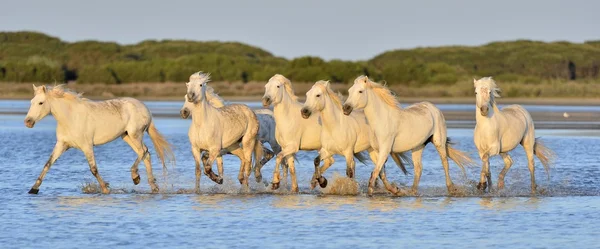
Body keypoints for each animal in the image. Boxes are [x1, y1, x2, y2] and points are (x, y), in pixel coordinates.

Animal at [23, 84, 173, 194]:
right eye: (31, 102)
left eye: (41, 103)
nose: (28, 122)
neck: (70, 118)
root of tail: (145, 108)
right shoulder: (62, 145)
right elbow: (47, 164)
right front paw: (33, 189)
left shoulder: (87, 146)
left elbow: (93, 169)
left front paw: (105, 189)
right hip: (126, 136)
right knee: (146, 154)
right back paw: (153, 186)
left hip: (135, 134)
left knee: (143, 152)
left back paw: (135, 177)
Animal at [344, 75, 476, 196]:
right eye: (349, 91)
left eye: (360, 91)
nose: (345, 108)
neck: (381, 120)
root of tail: (433, 107)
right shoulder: (377, 151)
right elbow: (381, 174)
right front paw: (396, 190)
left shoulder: (385, 149)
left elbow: (375, 174)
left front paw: (372, 193)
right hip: (418, 146)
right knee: (418, 168)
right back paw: (412, 192)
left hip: (439, 142)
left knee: (445, 163)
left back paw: (451, 189)